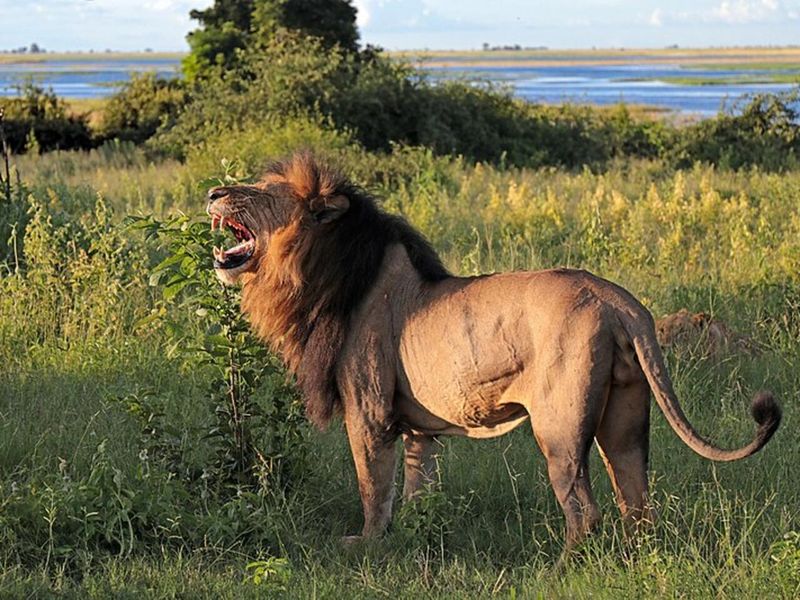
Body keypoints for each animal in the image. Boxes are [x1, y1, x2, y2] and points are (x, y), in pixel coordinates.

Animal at [206, 154, 780, 552]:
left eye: (265, 192)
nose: (213, 191)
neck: (319, 275)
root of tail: (620, 300)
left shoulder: (369, 411)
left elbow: (373, 487)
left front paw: (365, 545)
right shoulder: (418, 427)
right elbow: (416, 487)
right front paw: (415, 536)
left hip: (559, 426)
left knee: (584, 510)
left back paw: (560, 568)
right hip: (625, 416)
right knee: (636, 504)